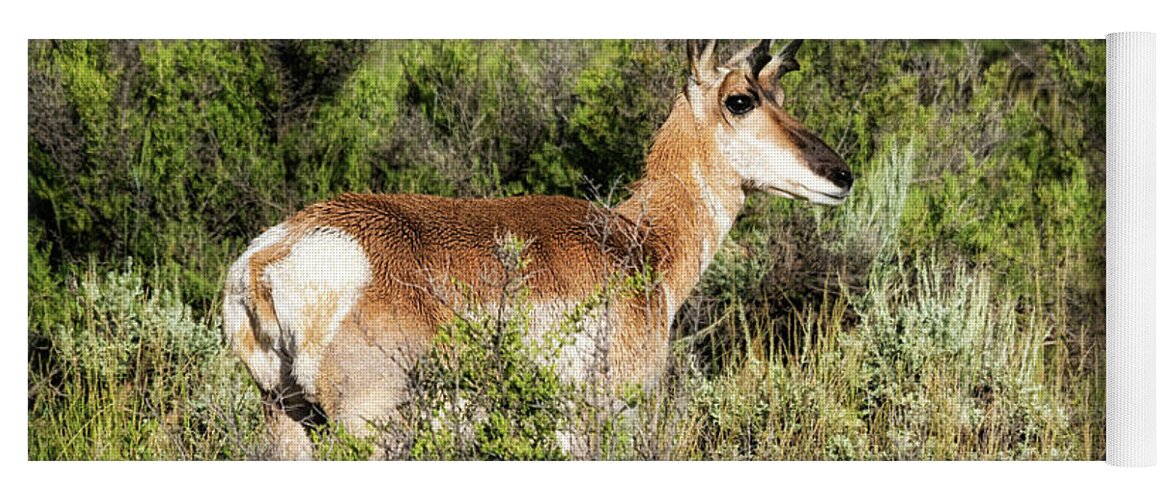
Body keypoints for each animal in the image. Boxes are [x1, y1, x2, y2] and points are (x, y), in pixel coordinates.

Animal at [223, 39, 857, 459]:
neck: (639, 242)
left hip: (287, 418)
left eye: (779, 92)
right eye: (741, 99)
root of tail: (270, 257)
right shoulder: (603, 417)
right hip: (368, 428)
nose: (841, 174)